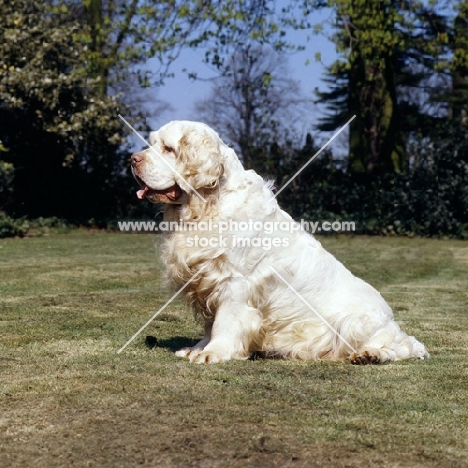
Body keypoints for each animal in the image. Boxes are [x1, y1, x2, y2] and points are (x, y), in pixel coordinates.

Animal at [130, 120, 430, 366]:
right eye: (151, 143)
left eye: (168, 148)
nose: (132, 159)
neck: (206, 206)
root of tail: (390, 321)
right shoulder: (207, 282)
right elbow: (210, 323)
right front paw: (198, 348)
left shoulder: (233, 283)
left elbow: (225, 321)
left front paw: (213, 352)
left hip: (355, 323)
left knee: (403, 348)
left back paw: (372, 355)